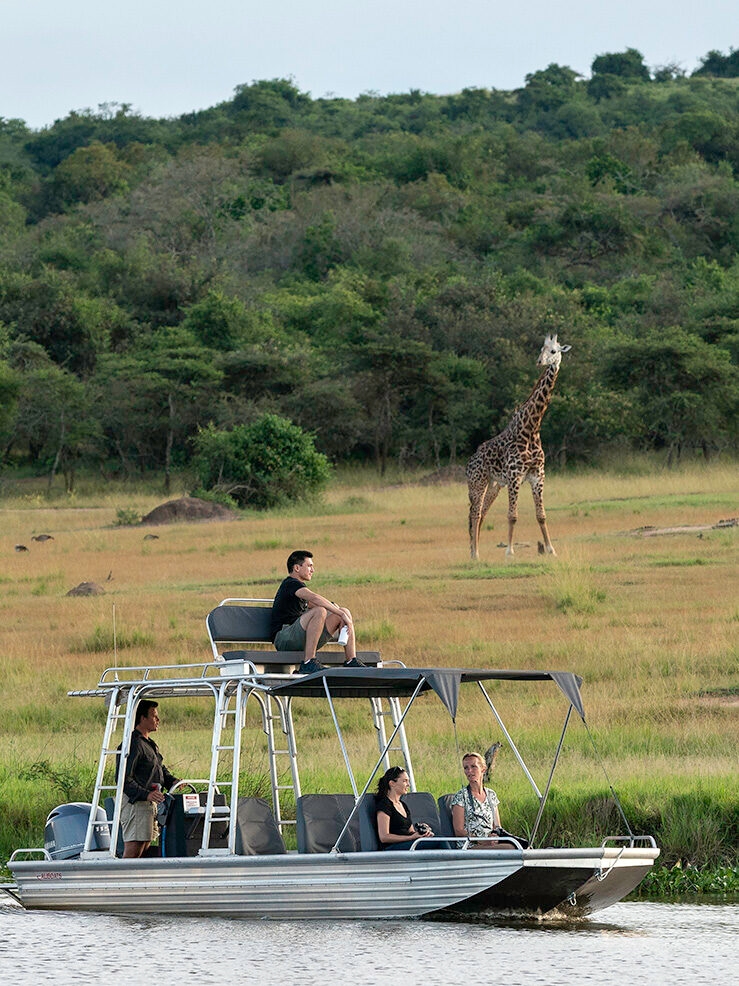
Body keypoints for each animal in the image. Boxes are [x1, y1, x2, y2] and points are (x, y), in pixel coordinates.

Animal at [466, 334, 571, 560]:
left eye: (554, 351)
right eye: (541, 348)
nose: (540, 362)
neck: (532, 428)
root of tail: (470, 461)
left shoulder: (537, 475)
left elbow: (541, 515)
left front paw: (551, 549)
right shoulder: (515, 476)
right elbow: (512, 516)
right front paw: (509, 552)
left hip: (494, 485)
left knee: (481, 514)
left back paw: (474, 552)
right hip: (477, 483)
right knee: (474, 514)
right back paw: (474, 554)